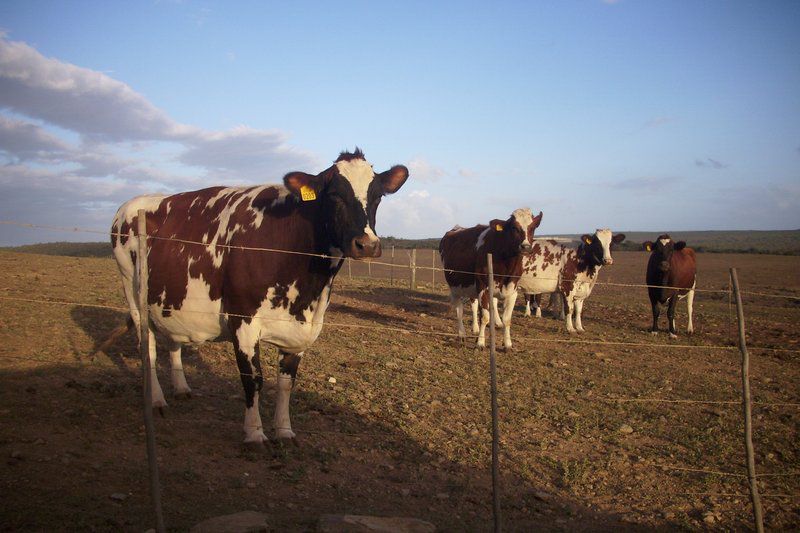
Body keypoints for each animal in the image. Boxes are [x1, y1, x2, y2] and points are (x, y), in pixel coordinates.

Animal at [109, 149, 410, 444]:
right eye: (335, 194)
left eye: (377, 196)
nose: (367, 244)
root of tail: (132, 204)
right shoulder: (243, 320)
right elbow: (253, 378)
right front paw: (254, 433)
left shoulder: (299, 330)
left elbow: (286, 383)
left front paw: (285, 431)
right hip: (133, 294)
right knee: (147, 347)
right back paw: (156, 400)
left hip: (172, 298)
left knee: (173, 340)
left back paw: (181, 388)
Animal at [438, 210, 544, 352]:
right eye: (514, 227)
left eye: (532, 227)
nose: (526, 247)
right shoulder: (483, 287)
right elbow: (485, 317)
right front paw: (480, 343)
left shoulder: (512, 291)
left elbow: (507, 319)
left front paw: (507, 344)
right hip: (455, 287)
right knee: (459, 310)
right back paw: (462, 335)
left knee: (475, 306)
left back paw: (476, 328)